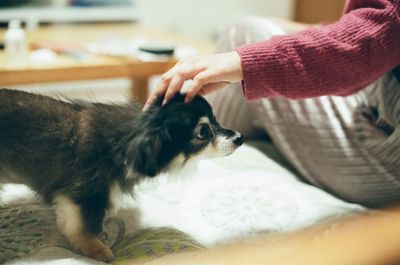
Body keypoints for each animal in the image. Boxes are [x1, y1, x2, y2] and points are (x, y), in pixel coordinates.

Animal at [0, 88, 244, 260]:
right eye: (203, 132)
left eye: (216, 119)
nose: (240, 137)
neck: (127, 142)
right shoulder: (84, 195)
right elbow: (84, 229)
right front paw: (98, 250)